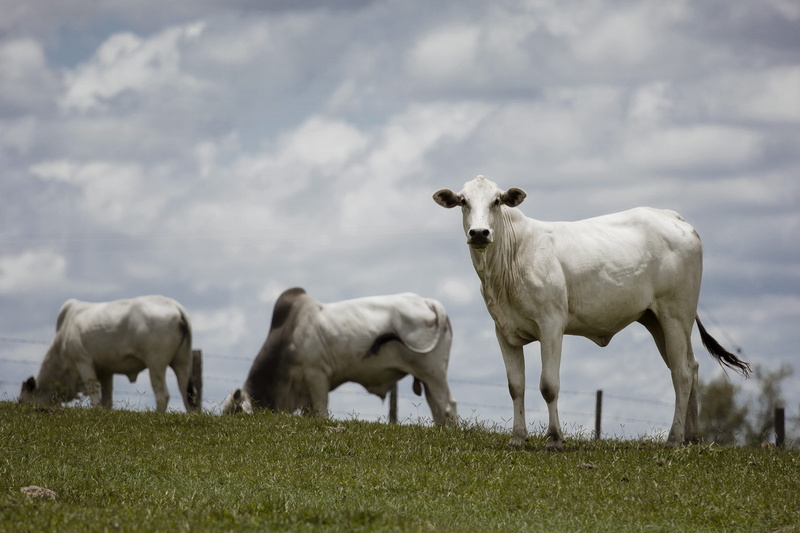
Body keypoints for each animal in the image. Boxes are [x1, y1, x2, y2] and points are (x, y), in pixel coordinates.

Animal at [19, 295, 199, 413]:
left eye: (21, 401)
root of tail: (177, 308)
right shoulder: (106, 371)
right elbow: (107, 399)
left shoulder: (83, 361)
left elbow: (94, 392)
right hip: (183, 361)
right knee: (188, 395)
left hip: (156, 364)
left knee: (163, 395)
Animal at [222, 287, 457, 426]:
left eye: (235, 413)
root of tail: (429, 302)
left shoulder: (317, 376)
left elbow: (321, 412)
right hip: (427, 377)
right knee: (438, 408)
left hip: (433, 372)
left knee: (447, 407)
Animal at [433, 175, 750, 450]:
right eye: (463, 201)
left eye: (497, 201)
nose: (479, 233)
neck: (510, 264)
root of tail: (671, 215)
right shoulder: (504, 331)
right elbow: (516, 386)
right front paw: (517, 438)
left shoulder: (551, 325)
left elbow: (549, 385)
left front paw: (554, 439)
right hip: (657, 320)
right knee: (690, 366)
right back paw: (691, 437)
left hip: (676, 314)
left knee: (682, 374)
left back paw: (673, 440)